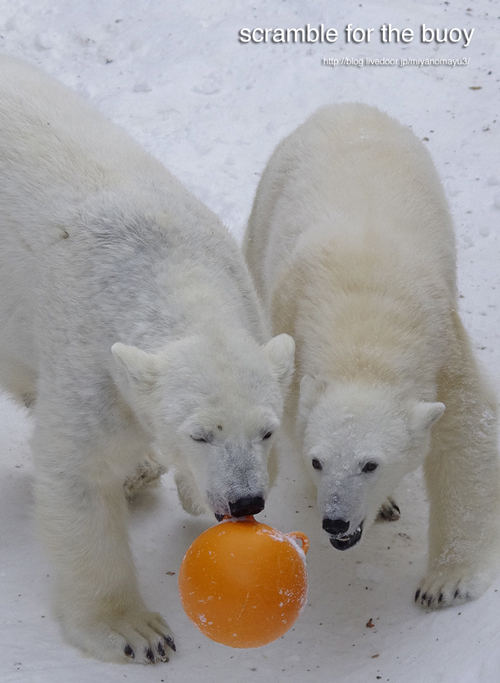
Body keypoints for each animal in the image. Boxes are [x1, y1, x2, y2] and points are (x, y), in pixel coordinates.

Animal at [0, 56, 294, 664]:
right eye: (200, 433)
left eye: (267, 432)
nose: (245, 500)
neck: (169, 268)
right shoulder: (88, 356)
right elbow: (79, 475)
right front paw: (136, 632)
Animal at [244, 105, 500, 608]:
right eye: (318, 461)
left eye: (370, 463)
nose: (336, 522)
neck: (362, 335)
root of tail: (344, 108)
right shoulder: (292, 346)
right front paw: (381, 505)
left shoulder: (443, 347)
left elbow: (466, 440)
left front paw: (446, 584)